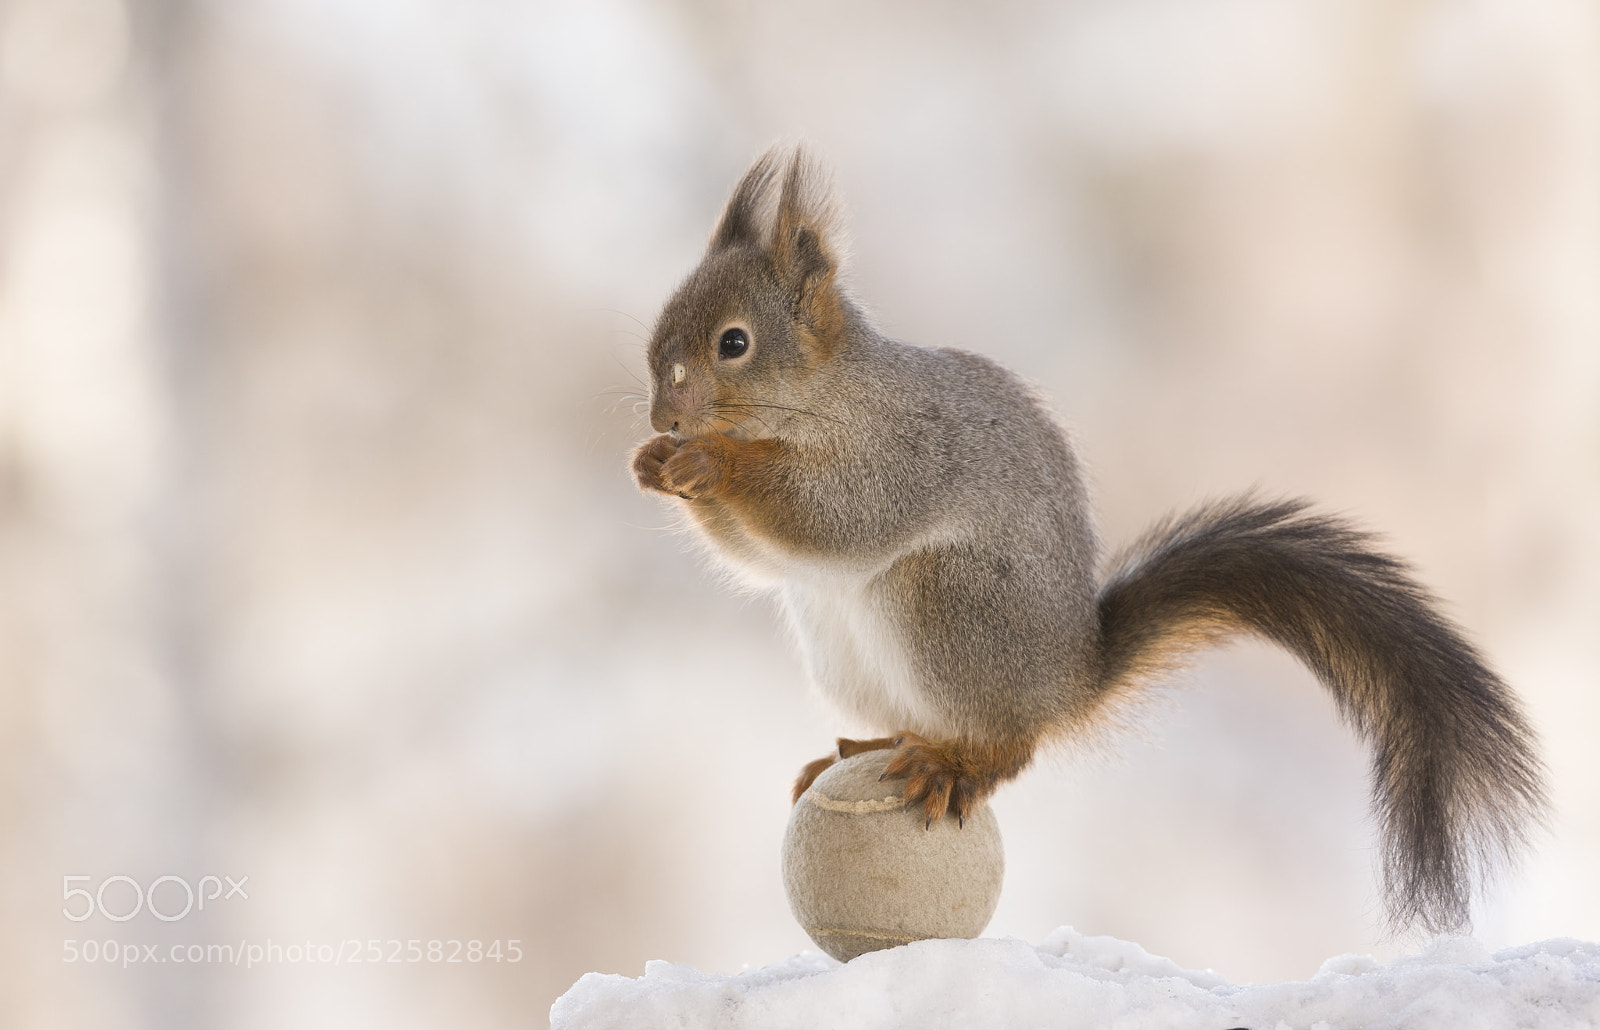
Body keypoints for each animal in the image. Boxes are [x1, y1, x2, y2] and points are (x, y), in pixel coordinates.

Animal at [630, 145, 1546, 934]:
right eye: (659, 335)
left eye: (734, 343)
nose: (665, 418)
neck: (820, 396)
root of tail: (1069, 679)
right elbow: (761, 557)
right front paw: (654, 464)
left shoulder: (901, 454)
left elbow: (835, 515)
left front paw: (711, 460)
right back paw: (876, 743)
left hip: (946, 604)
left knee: (1011, 745)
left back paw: (956, 763)